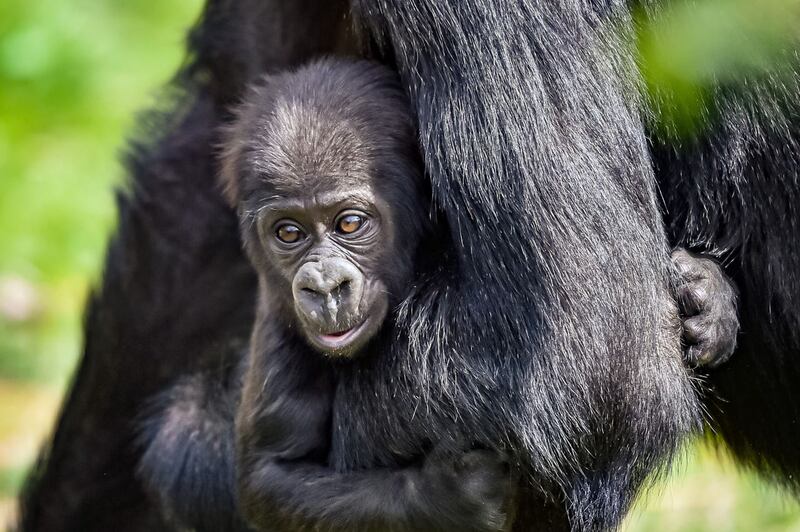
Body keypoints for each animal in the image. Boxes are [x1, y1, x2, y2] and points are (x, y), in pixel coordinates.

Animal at [141, 58, 740, 532]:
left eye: (349, 223)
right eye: (288, 233)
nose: (324, 286)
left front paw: (706, 299)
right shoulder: (278, 327)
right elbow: (273, 479)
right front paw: (445, 498)